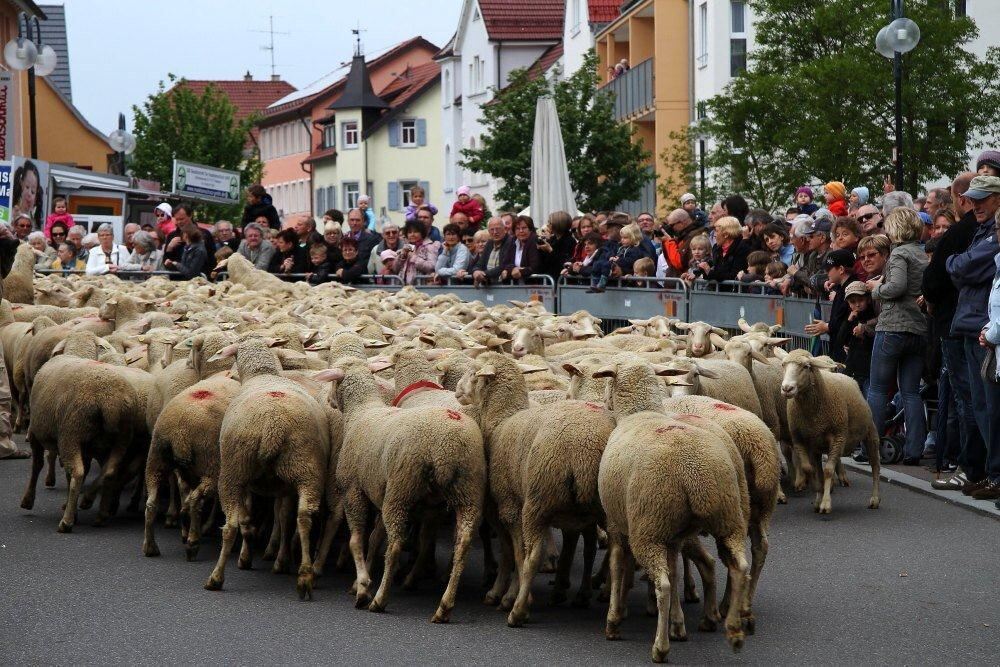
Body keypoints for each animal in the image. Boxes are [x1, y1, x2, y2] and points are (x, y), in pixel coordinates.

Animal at [201, 340, 330, 600]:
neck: (264, 374)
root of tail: (273, 425)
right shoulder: (284, 485)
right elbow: (282, 516)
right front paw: (280, 561)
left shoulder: (250, 483)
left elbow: (248, 518)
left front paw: (246, 556)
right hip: (306, 467)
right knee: (303, 517)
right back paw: (305, 577)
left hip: (233, 471)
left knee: (230, 525)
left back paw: (216, 578)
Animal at [316, 358, 480, 624]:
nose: (330, 400)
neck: (361, 411)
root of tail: (448, 443)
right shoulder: (382, 493)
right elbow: (374, 539)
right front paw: (360, 580)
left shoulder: (353, 490)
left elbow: (356, 540)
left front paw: (363, 587)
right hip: (465, 490)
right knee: (462, 543)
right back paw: (444, 606)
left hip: (401, 489)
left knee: (395, 546)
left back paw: (379, 599)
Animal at [456, 354, 616, 628]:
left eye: (473, 372)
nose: (456, 390)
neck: (502, 419)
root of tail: (585, 451)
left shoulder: (509, 506)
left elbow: (515, 552)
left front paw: (506, 595)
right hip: (603, 509)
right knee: (614, 555)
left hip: (538, 501)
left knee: (533, 555)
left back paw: (518, 611)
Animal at [592, 358, 752, 660]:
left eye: (608, 381)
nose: (603, 402)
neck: (640, 413)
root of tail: (694, 475)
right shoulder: (675, 536)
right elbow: (676, 570)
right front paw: (678, 624)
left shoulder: (617, 524)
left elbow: (618, 565)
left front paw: (613, 619)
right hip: (726, 517)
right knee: (739, 566)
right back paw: (734, 631)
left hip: (648, 528)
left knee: (663, 585)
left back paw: (660, 647)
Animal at [776, 348, 880, 516]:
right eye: (783, 365)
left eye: (806, 366)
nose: (787, 388)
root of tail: (848, 377)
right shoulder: (802, 441)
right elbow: (809, 469)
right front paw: (817, 493)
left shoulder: (838, 437)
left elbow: (828, 470)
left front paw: (825, 504)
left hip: (870, 433)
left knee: (875, 466)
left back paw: (875, 499)